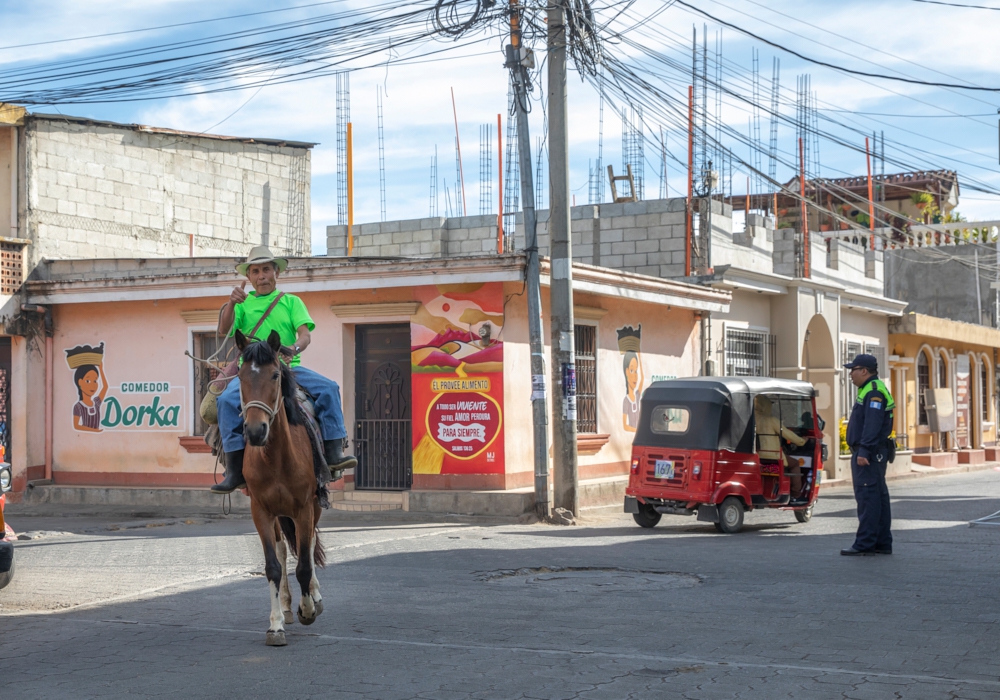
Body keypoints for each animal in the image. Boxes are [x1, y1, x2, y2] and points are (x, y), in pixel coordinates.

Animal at [235, 328, 326, 644]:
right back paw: (286, 606)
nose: (255, 431)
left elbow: (304, 564)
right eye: (240, 375)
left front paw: (308, 609)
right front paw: (275, 625)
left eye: (275, 375)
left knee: (308, 545)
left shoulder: (304, 507)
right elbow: (273, 566)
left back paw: (314, 598)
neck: (275, 457)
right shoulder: (261, 511)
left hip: (314, 506)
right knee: (284, 549)